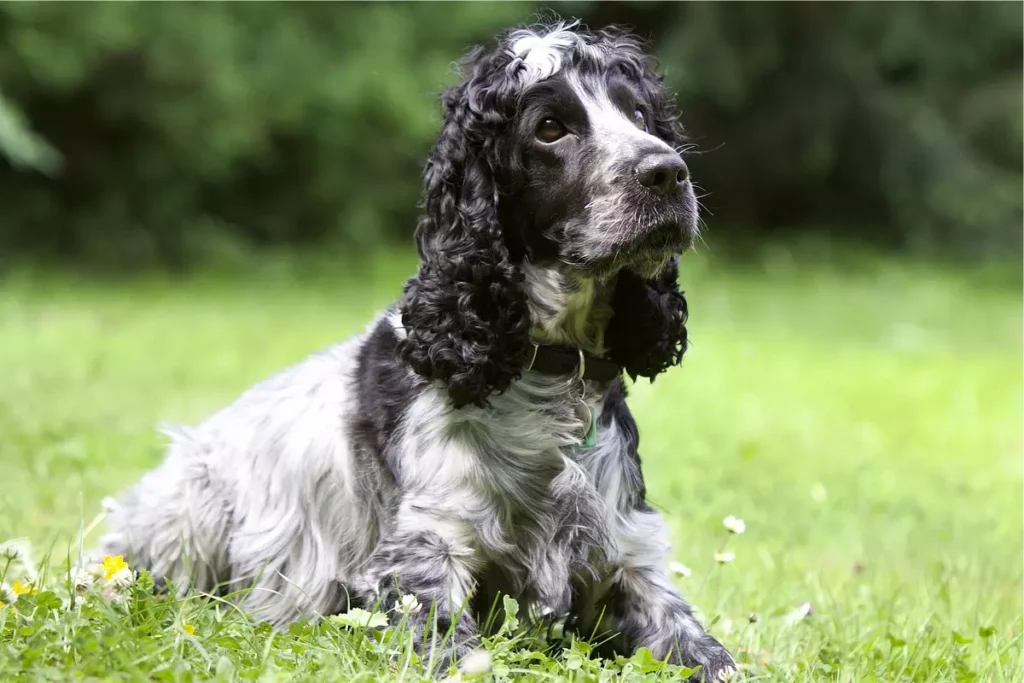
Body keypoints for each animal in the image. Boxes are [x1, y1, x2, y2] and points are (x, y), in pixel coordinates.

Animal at [97, 18, 737, 679]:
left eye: (639, 114)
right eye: (549, 128)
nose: (667, 172)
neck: (548, 376)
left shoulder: (629, 557)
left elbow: (708, 651)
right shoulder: (425, 555)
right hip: (188, 509)